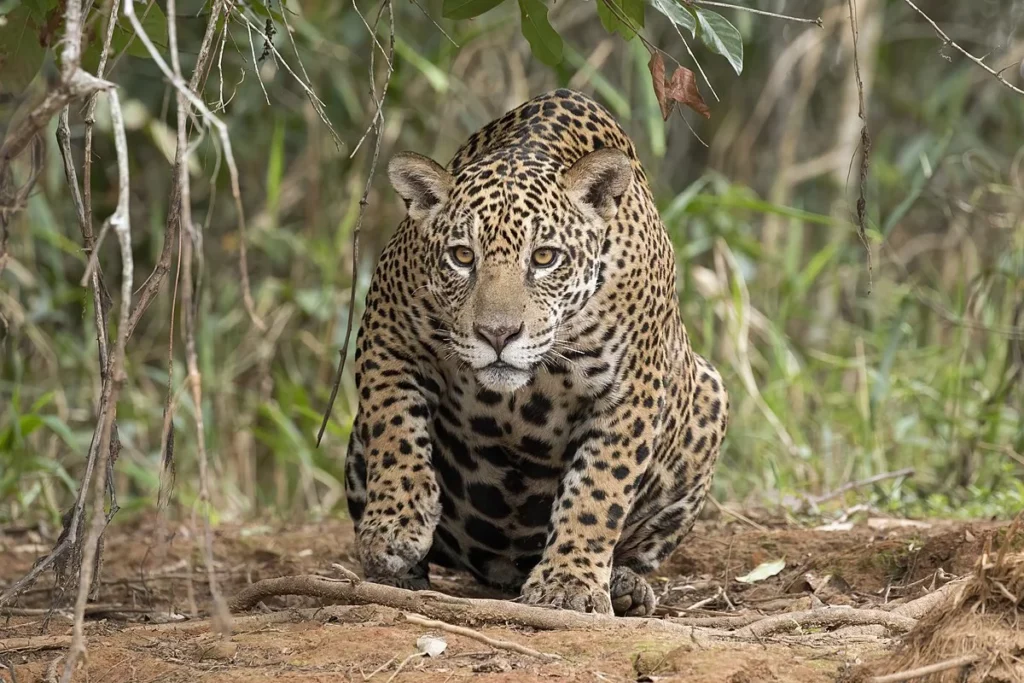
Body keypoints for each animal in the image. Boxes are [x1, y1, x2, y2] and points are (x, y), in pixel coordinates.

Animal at [344, 88, 729, 617]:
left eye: (545, 257)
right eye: (462, 256)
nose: (497, 334)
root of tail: (502, 570)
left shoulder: (631, 389)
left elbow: (598, 488)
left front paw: (569, 582)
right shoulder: (387, 333)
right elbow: (395, 427)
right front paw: (394, 527)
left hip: (709, 396)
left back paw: (624, 586)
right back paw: (398, 575)